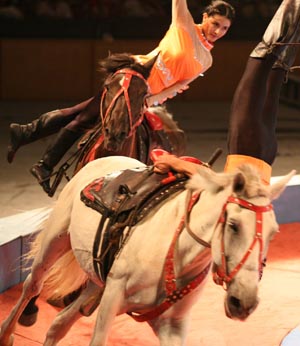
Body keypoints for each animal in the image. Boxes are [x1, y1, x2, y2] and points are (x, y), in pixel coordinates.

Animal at [0, 157, 296, 346]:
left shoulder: (173, 325)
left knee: (59, 324)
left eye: (273, 233)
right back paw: (7, 333)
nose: (243, 302)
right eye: (233, 225)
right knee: (32, 285)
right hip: (56, 241)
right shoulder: (112, 299)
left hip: (96, 282)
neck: (175, 252)